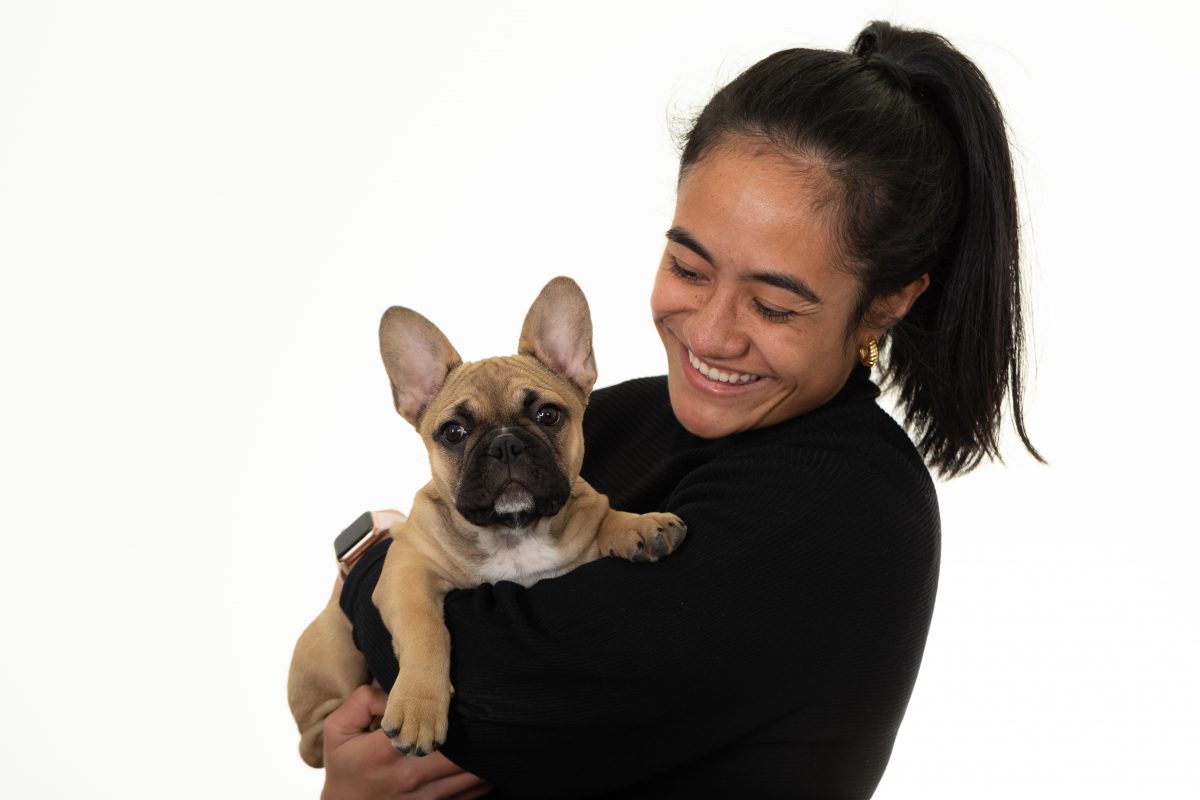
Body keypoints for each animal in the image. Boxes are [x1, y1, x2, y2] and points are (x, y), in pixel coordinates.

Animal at [284, 278, 691, 767]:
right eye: (453, 432)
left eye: (548, 415)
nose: (504, 445)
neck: (513, 531)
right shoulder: (406, 574)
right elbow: (426, 630)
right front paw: (419, 708)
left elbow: (604, 515)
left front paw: (640, 525)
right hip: (331, 654)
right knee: (314, 738)